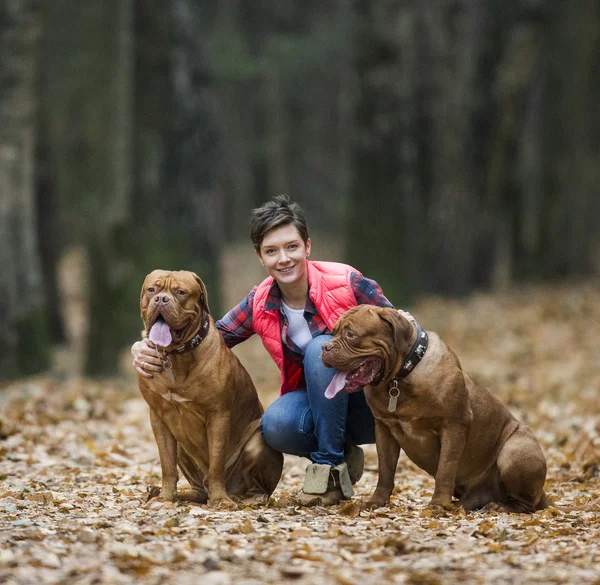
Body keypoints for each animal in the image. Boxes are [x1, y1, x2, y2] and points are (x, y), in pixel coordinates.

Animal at [138, 272, 284, 504]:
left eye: (181, 292)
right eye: (152, 290)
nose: (161, 299)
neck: (176, 357)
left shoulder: (218, 415)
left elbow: (216, 463)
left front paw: (219, 499)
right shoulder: (159, 416)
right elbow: (167, 464)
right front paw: (165, 498)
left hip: (258, 445)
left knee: (256, 485)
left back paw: (249, 498)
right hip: (182, 447)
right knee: (198, 487)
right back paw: (175, 494)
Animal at [324, 306, 548, 512]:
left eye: (351, 334)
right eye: (333, 333)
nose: (325, 347)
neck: (400, 378)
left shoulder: (454, 425)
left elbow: (445, 468)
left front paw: (439, 504)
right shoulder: (384, 429)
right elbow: (385, 470)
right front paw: (377, 501)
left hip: (515, 450)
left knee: (529, 504)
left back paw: (501, 507)